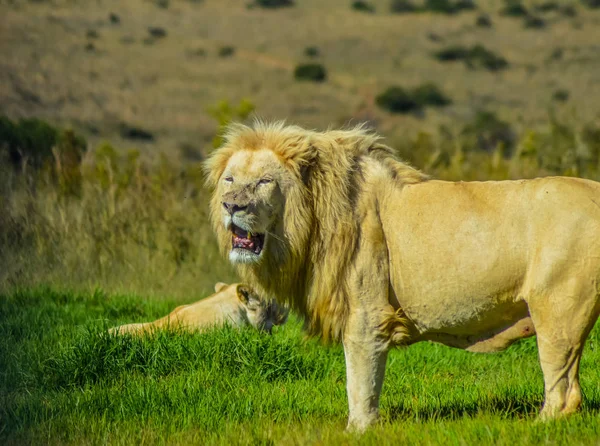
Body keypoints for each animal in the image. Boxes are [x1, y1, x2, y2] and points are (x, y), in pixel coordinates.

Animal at [204, 121, 600, 432]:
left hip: (557, 310)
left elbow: (360, 381)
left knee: (564, 389)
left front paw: (358, 430)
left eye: (264, 182)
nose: (232, 205)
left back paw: (537, 425)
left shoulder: (367, 315)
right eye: (230, 179)